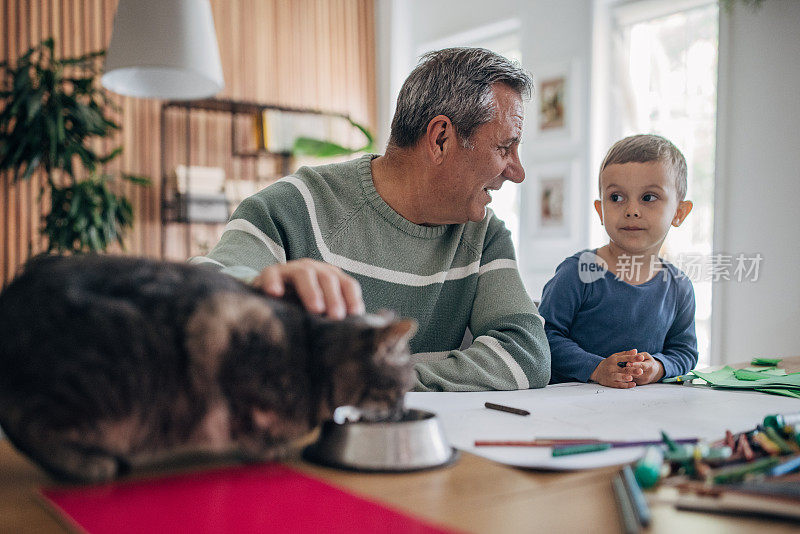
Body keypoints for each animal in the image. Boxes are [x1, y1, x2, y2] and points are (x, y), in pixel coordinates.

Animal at [0, 255, 412, 486]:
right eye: (402, 387)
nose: (403, 409)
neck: (313, 355)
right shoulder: (226, 335)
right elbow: (246, 423)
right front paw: (267, 448)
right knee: (31, 429)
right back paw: (89, 464)